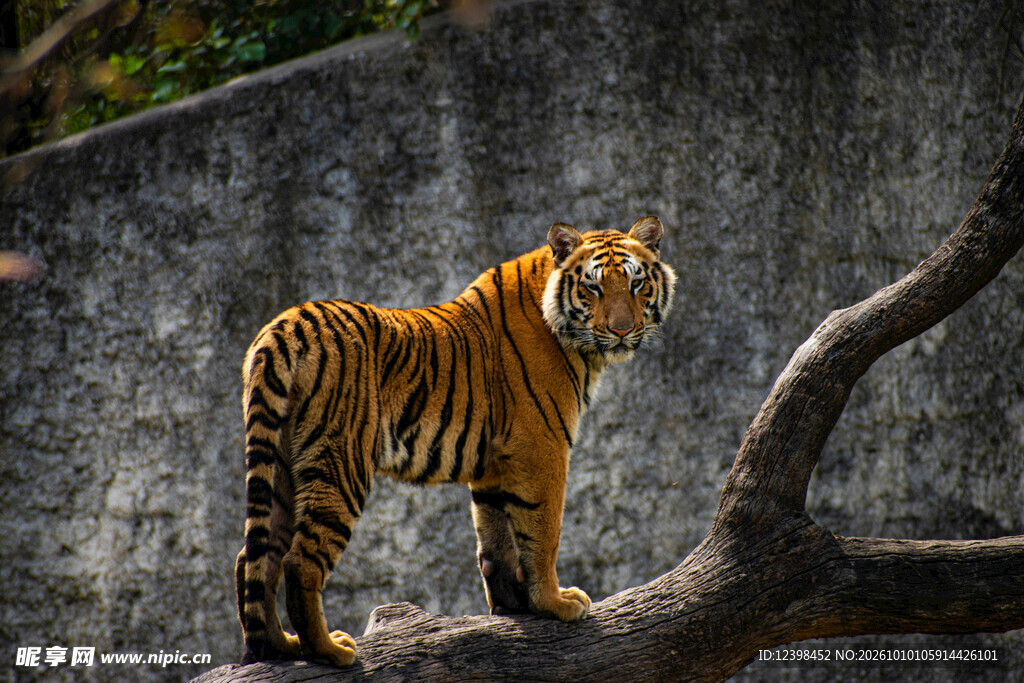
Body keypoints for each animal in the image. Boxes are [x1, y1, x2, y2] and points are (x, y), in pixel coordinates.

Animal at [235, 216, 677, 666]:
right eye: (593, 288)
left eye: (636, 284)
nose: (622, 330)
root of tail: (285, 326)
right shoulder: (543, 447)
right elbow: (542, 531)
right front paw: (555, 603)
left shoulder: (496, 463)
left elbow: (497, 537)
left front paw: (514, 606)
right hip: (341, 463)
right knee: (299, 561)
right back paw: (331, 651)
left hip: (282, 466)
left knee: (256, 557)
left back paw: (282, 646)